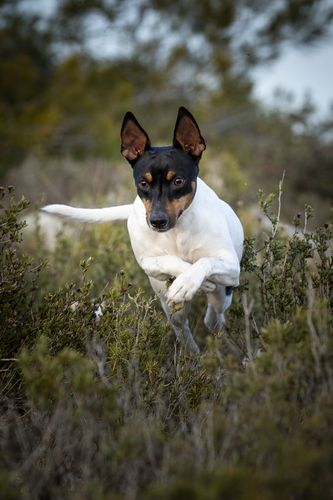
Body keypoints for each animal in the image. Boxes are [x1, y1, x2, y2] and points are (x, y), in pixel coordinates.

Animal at [42, 107, 243, 354]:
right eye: (143, 183)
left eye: (178, 181)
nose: (157, 221)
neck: (177, 230)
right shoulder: (148, 263)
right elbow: (172, 262)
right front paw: (189, 279)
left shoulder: (231, 266)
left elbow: (204, 262)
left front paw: (188, 281)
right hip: (170, 305)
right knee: (182, 328)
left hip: (222, 295)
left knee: (213, 316)